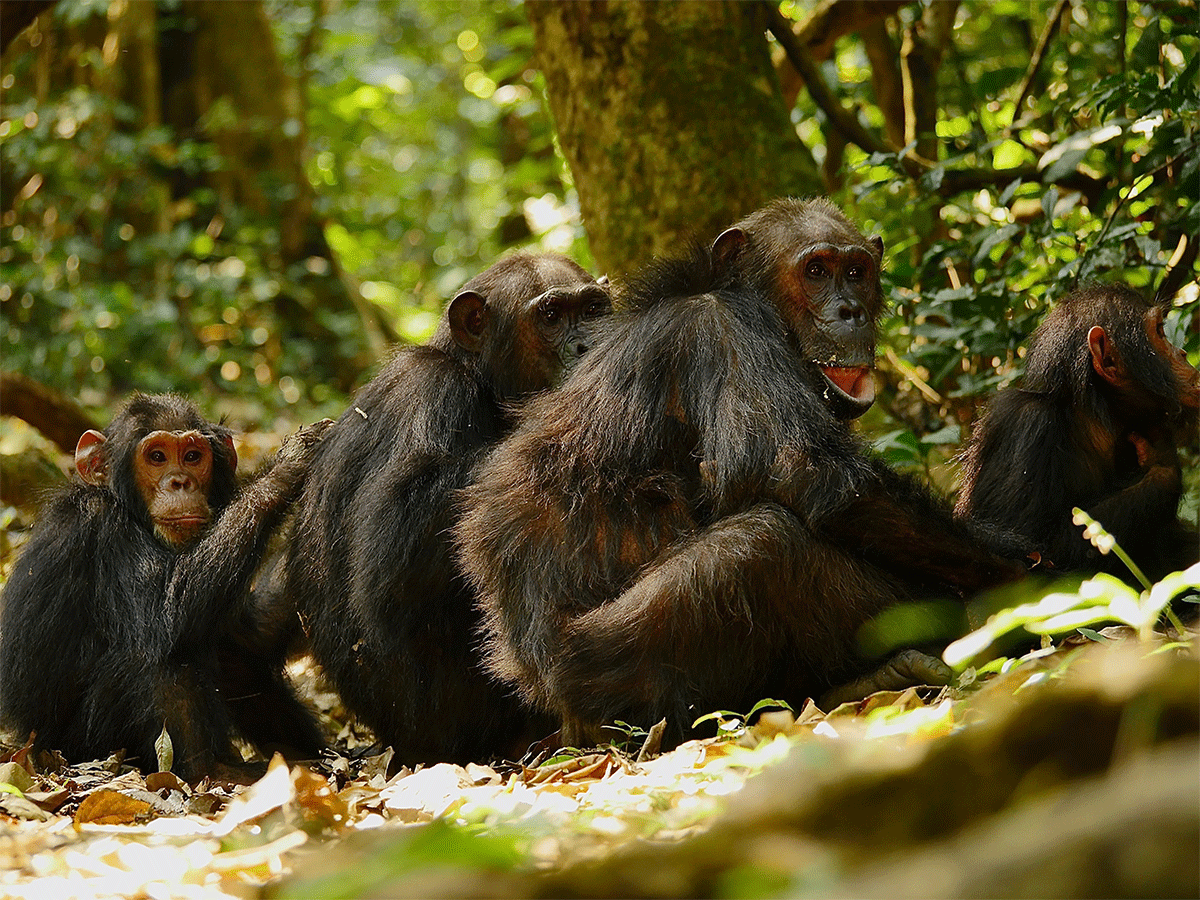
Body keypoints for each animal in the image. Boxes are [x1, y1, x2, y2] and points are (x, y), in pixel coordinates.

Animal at [0, 393, 331, 782]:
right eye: (157, 457)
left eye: (192, 457)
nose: (179, 482)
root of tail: (33, 751)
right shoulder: (104, 528)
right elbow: (167, 612)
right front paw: (288, 465)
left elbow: (252, 633)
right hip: (87, 749)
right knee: (158, 655)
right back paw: (213, 772)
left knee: (233, 657)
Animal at [277, 254, 614, 768]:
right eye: (552, 315)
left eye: (594, 308)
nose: (587, 342)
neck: (477, 374)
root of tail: (397, 746)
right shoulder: (433, 394)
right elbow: (390, 559)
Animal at [456, 200, 1022, 748]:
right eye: (816, 271)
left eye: (856, 271)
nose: (851, 310)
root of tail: (558, 712)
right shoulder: (723, 329)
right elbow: (801, 469)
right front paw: (1019, 573)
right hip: (616, 676)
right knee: (759, 545)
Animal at [955, 285, 1200, 588]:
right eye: (1160, 332)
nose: (1183, 353)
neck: (1093, 421)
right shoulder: (1026, 426)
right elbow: (1029, 553)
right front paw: (1162, 461)